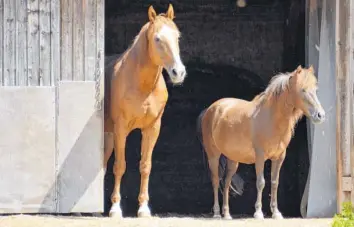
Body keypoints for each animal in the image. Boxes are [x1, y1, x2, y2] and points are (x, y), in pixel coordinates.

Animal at [103, 4, 187, 217]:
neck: (142, 85)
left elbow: (145, 166)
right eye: (157, 38)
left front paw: (143, 208)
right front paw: (115, 208)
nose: (178, 72)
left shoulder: (152, 128)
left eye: (177, 37)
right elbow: (120, 166)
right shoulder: (121, 129)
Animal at [196, 65, 326, 220]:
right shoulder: (260, 157)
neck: (271, 119)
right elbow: (261, 182)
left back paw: (227, 214)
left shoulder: (279, 157)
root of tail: (210, 110)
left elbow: (275, 183)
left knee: (226, 182)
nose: (320, 115)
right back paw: (216, 213)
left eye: (316, 90)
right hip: (213, 155)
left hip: (233, 159)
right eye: (303, 90)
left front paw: (276, 213)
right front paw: (258, 213)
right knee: (216, 181)